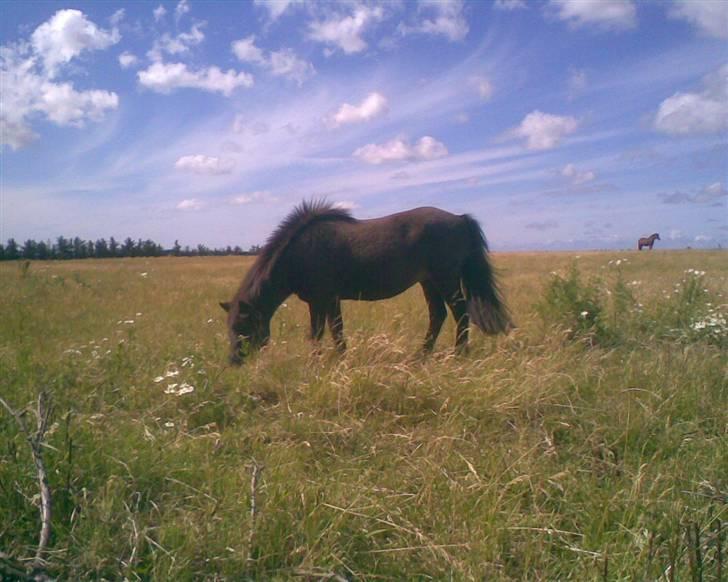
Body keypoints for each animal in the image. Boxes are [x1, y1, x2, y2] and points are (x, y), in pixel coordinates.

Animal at [222, 201, 512, 364]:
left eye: (242, 326)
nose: (234, 361)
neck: (301, 253)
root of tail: (461, 218)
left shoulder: (325, 299)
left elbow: (329, 331)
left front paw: (332, 360)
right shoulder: (322, 301)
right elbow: (325, 331)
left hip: (446, 279)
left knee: (460, 312)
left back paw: (459, 353)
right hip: (429, 282)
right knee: (438, 315)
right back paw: (422, 354)